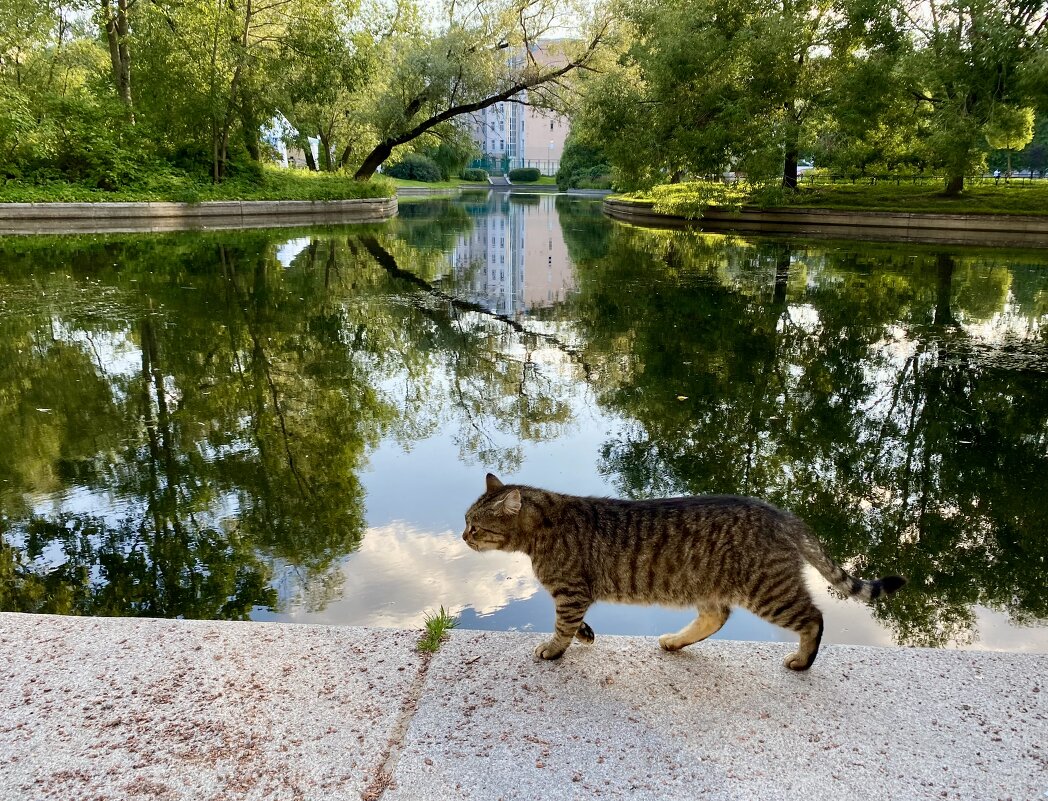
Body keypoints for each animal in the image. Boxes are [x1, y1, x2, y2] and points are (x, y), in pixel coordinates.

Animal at [463, 471, 905, 670]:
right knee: (715, 617)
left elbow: (561, 627)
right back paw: (675, 641)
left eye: (476, 526)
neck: (546, 525)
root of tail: (782, 515)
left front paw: (554, 649)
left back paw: (802, 660)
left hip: (768, 591)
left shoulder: (571, 592)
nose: (464, 536)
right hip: (710, 587)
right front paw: (585, 635)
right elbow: (575, 624)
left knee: (813, 618)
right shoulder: (576, 596)